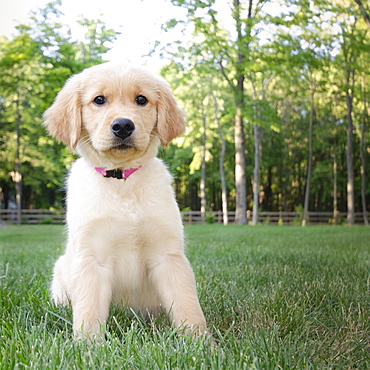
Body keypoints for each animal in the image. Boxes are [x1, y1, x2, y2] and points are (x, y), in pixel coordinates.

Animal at [43, 62, 207, 338]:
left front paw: (201, 341)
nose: (122, 126)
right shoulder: (91, 256)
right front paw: (88, 345)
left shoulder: (168, 253)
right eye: (99, 100)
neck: (122, 182)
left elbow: (187, 305)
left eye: (141, 99)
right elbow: (88, 310)